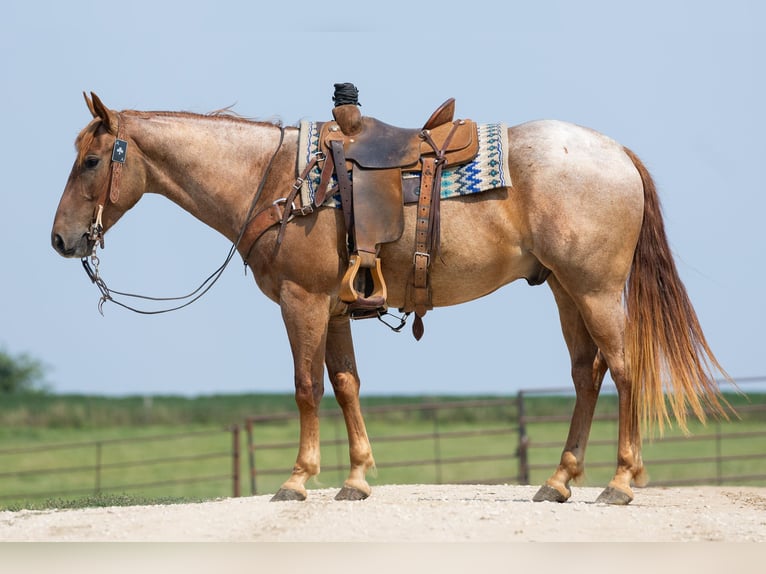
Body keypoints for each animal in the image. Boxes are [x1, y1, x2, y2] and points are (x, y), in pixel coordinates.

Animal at [52, 92, 730, 505]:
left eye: (91, 161)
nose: (61, 239)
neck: (274, 183)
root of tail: (616, 153)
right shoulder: (333, 309)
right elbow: (346, 384)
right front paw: (355, 478)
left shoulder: (301, 301)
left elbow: (306, 387)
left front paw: (297, 480)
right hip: (565, 290)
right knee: (587, 375)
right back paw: (559, 481)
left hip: (595, 290)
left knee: (624, 369)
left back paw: (619, 482)